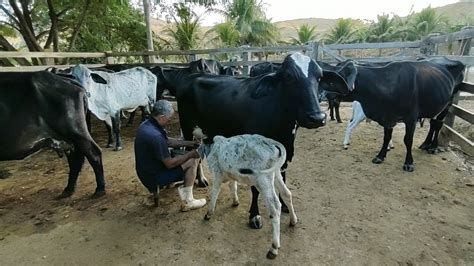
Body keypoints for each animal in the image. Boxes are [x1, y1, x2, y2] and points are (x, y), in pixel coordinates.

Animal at [154, 52, 350, 229]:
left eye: (319, 77)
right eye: (288, 77)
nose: (317, 117)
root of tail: (192, 75)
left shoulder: (285, 153)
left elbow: (284, 181)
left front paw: (286, 207)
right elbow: (255, 189)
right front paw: (254, 216)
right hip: (187, 129)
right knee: (192, 153)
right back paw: (199, 181)